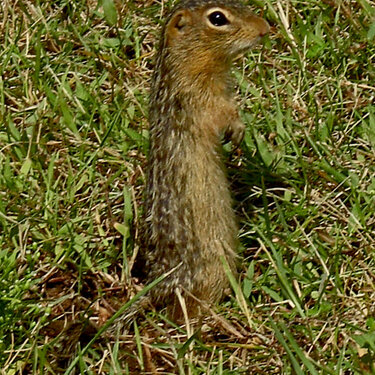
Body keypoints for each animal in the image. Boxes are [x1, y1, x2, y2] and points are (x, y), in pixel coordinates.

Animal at [114, 0, 268, 328]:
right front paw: (238, 129)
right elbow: (223, 113)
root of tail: (158, 288)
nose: (265, 28)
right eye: (218, 18)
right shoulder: (200, 98)